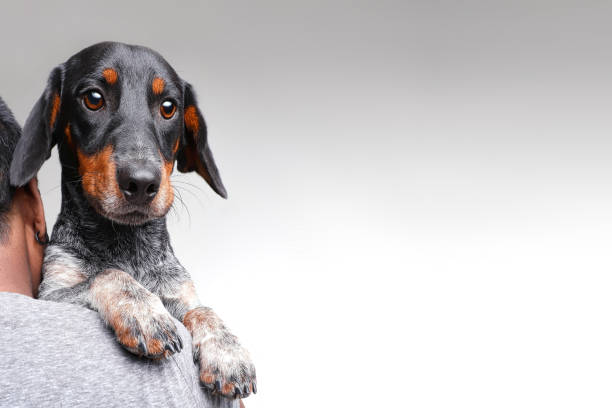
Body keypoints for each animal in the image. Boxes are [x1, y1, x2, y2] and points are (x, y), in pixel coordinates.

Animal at [10, 43, 258, 400]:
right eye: (93, 98)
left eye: (168, 107)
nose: (141, 182)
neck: (127, 246)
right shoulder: (52, 294)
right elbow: (108, 275)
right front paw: (144, 313)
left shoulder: (180, 292)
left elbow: (201, 309)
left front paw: (227, 352)